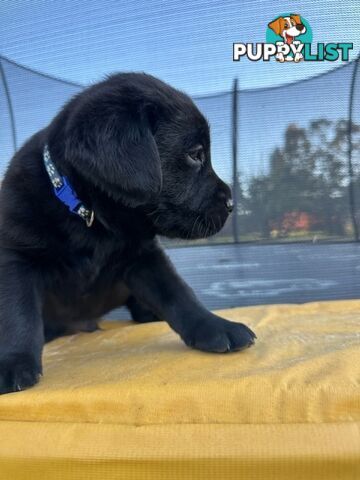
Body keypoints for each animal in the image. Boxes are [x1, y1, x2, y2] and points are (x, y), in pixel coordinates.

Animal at [0, 72, 256, 394]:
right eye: (195, 154)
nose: (232, 204)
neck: (88, 216)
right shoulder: (17, 258)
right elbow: (18, 314)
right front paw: (14, 361)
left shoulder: (144, 255)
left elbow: (179, 293)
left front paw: (215, 326)